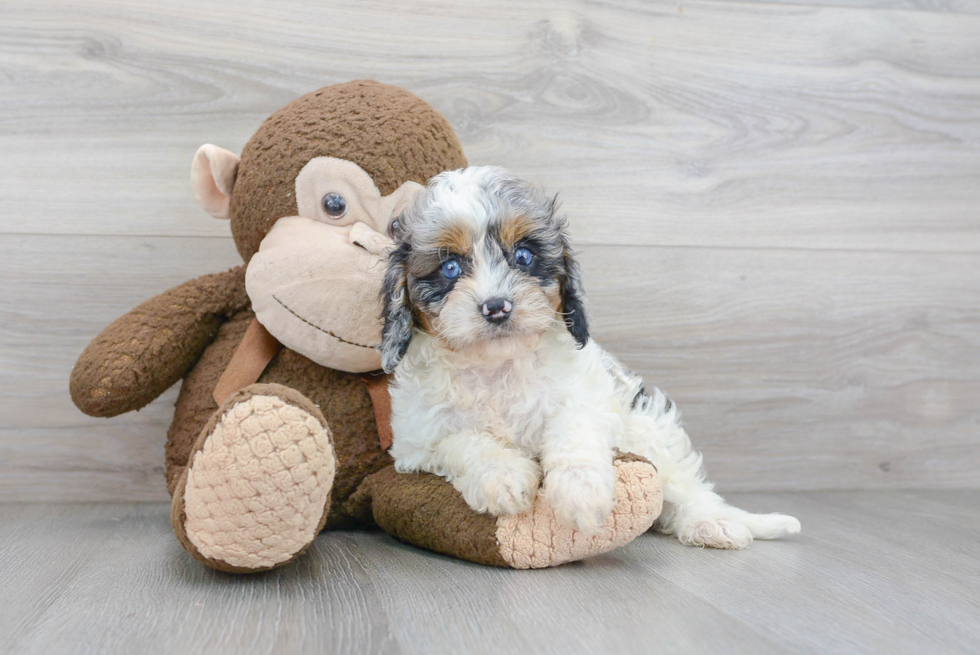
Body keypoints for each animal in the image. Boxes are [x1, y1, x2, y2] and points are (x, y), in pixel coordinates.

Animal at [378, 167, 800, 544]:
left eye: (524, 256)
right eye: (450, 267)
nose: (496, 307)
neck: (497, 365)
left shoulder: (586, 396)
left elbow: (573, 429)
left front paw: (579, 490)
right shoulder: (419, 441)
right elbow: (463, 441)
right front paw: (502, 476)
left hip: (647, 430)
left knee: (684, 485)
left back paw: (711, 522)